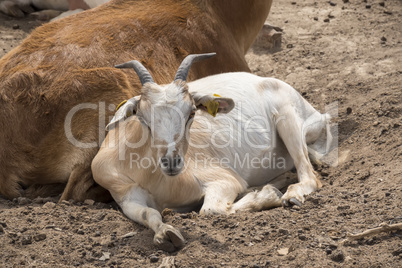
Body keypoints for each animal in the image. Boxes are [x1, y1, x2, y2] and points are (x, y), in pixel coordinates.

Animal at [92, 53, 332, 252]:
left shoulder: (223, 180)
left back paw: (289, 195)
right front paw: (166, 234)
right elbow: (148, 212)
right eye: (142, 117)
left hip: (287, 118)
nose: (171, 162)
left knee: (309, 175)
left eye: (191, 113)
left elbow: (211, 210)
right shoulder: (126, 196)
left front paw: (268, 195)